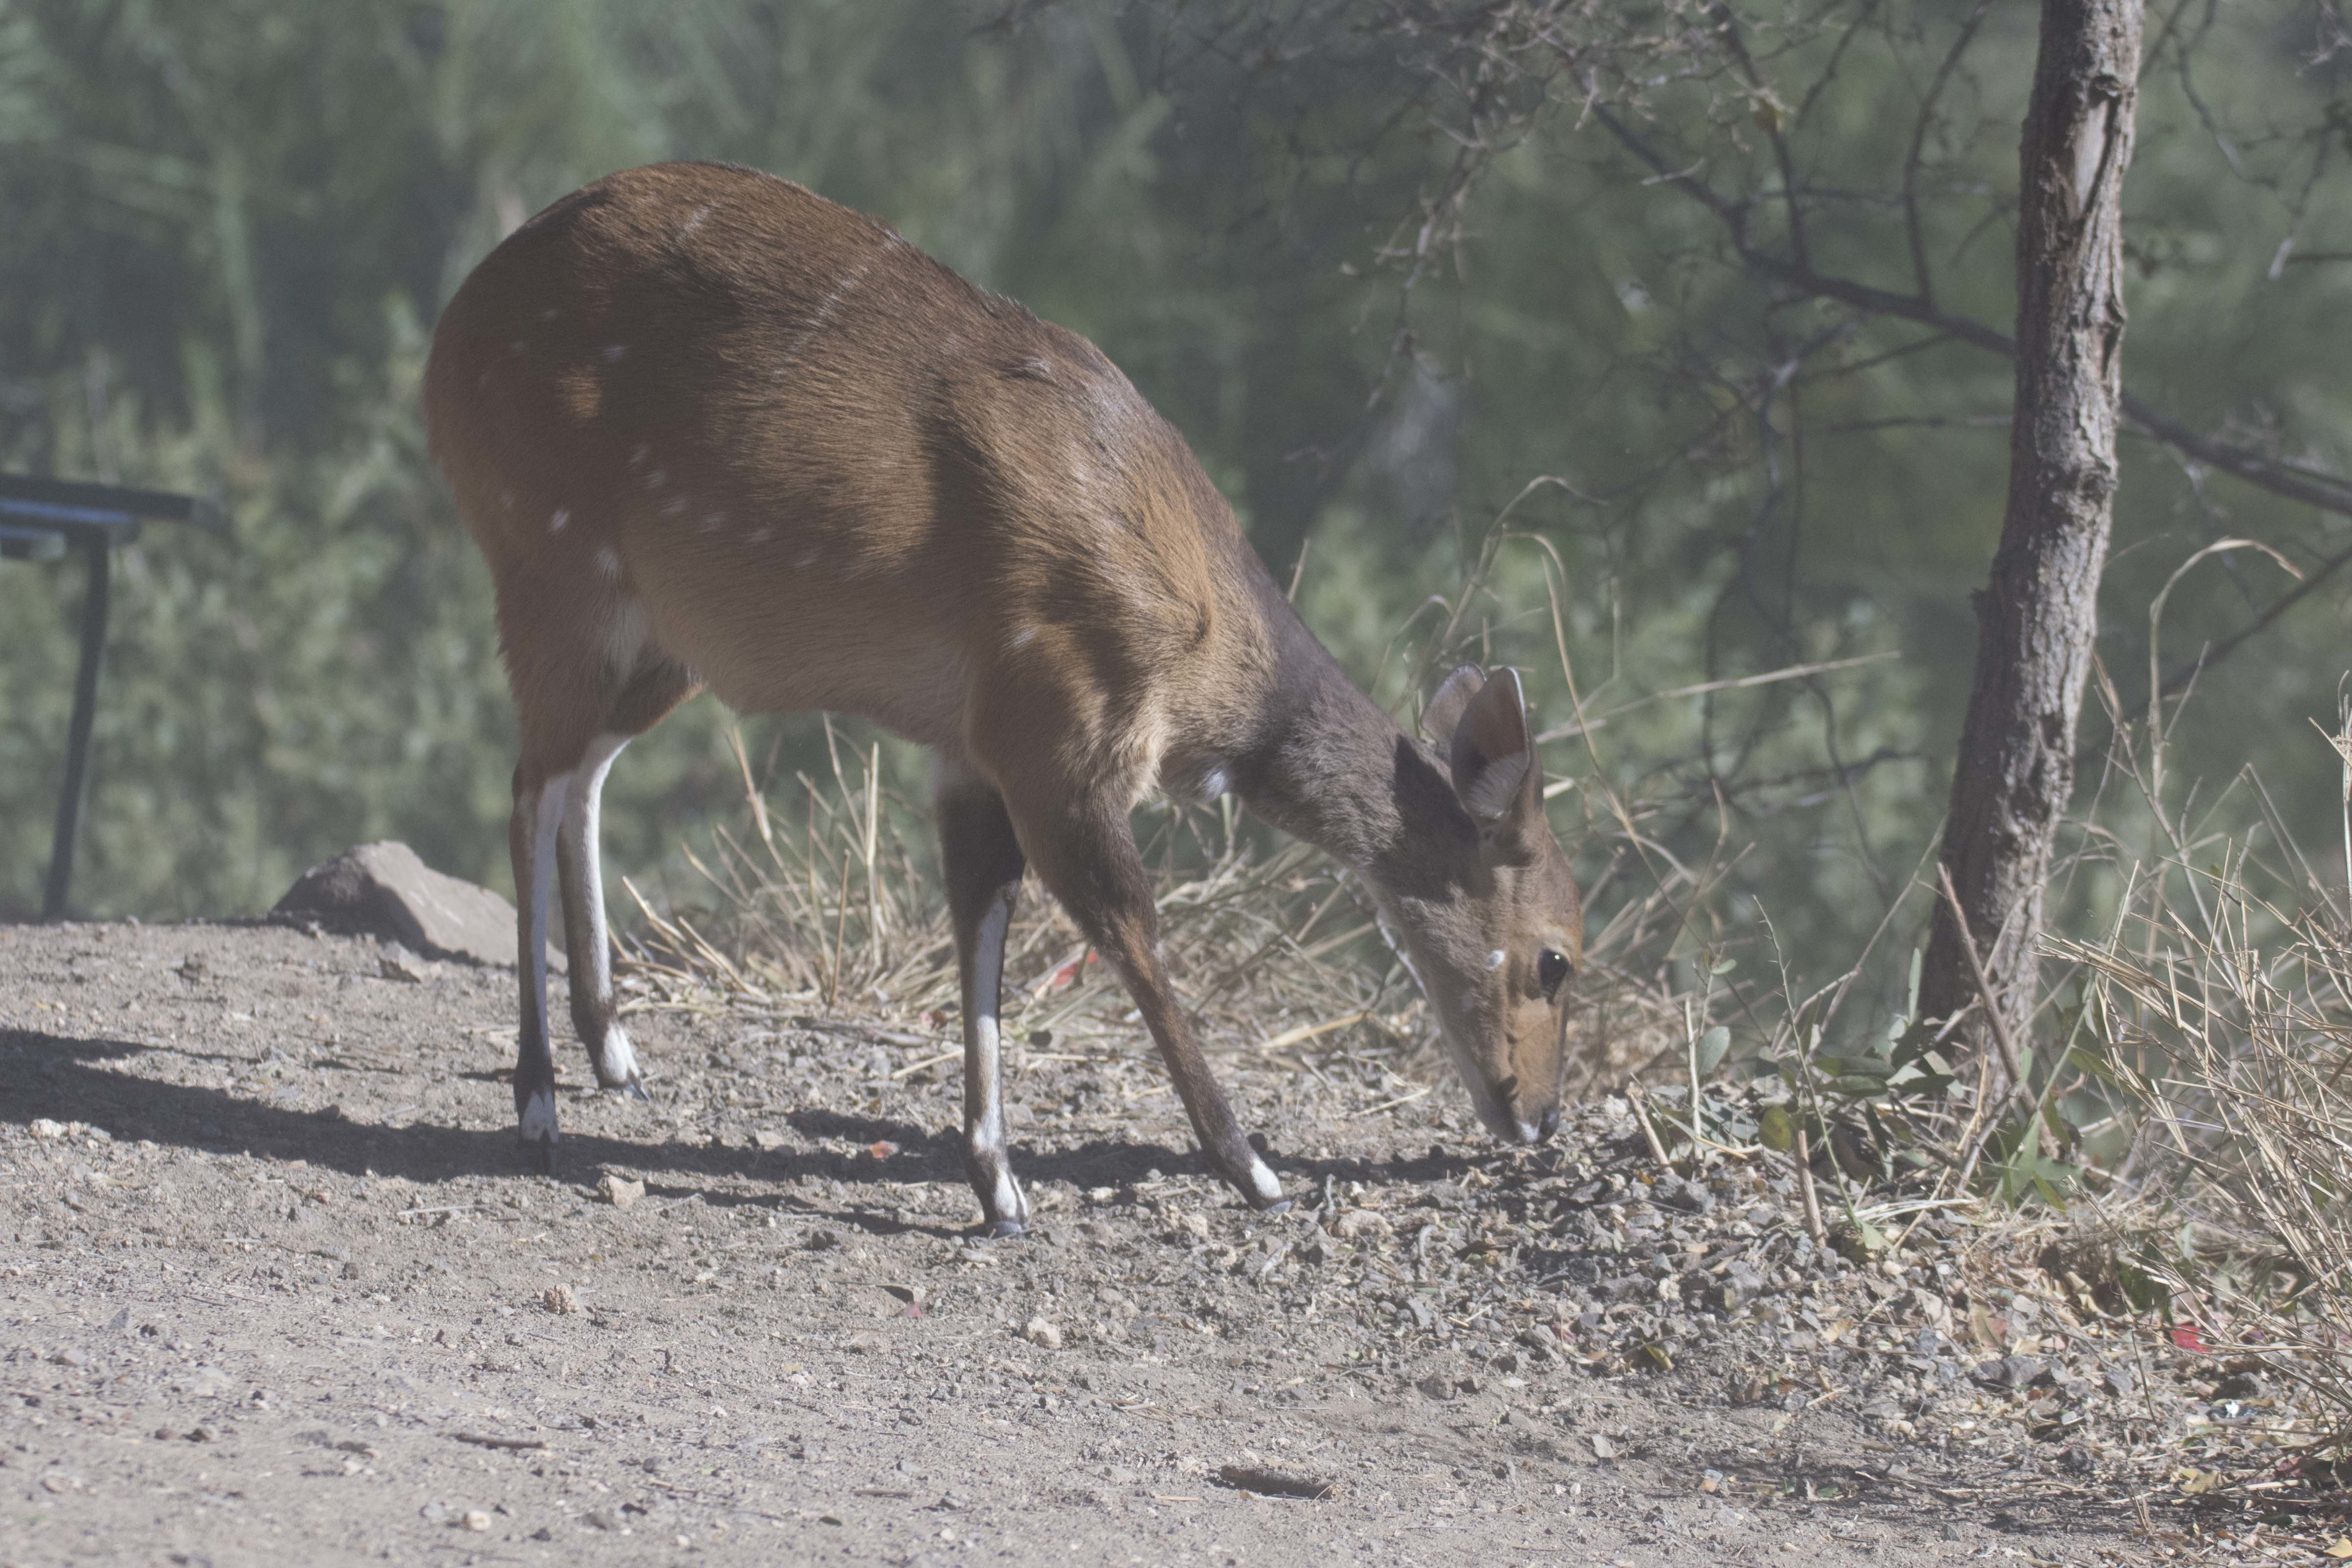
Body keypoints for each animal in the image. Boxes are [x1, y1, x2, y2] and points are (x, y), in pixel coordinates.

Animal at [423, 162, 1580, 1241]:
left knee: (582, 772)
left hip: (670, 640)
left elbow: (981, 917)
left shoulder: (972, 752)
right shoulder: (1058, 736)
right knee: (530, 785)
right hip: (556, 570)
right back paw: (537, 1100)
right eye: (1558, 958)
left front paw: (1000, 1187)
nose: (1540, 1118)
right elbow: (1128, 928)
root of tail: (448, 335)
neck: (1203, 649)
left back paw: (617, 1052)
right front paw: (1253, 1170)